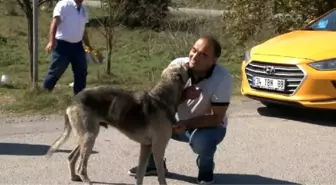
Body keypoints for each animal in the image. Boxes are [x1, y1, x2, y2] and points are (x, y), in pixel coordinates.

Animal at [46, 62, 190, 185]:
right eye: (183, 64)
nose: (190, 61)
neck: (161, 99)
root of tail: (73, 100)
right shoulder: (158, 147)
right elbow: (161, 176)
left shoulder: (146, 146)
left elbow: (141, 173)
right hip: (88, 137)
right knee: (81, 168)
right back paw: (85, 179)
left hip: (87, 135)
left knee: (71, 157)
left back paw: (74, 177)